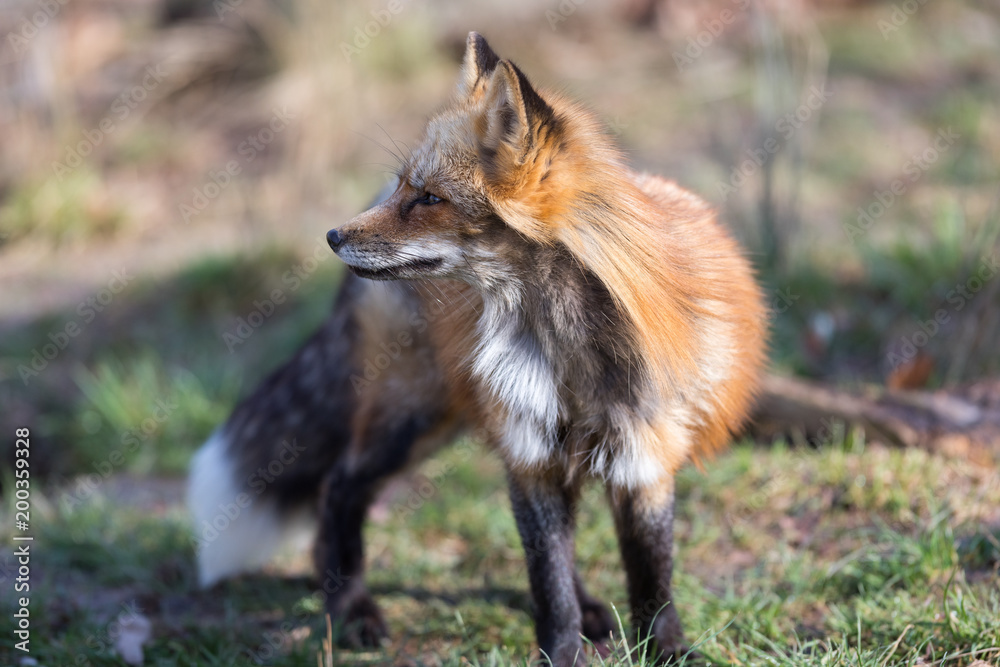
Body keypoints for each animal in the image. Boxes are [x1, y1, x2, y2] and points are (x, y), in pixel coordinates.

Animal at [188, 32, 767, 665]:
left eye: (429, 198)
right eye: (406, 188)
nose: (333, 236)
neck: (569, 355)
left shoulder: (643, 456)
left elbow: (651, 581)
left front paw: (665, 650)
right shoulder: (530, 451)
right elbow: (549, 584)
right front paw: (560, 654)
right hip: (411, 420)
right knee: (338, 489)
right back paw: (352, 609)